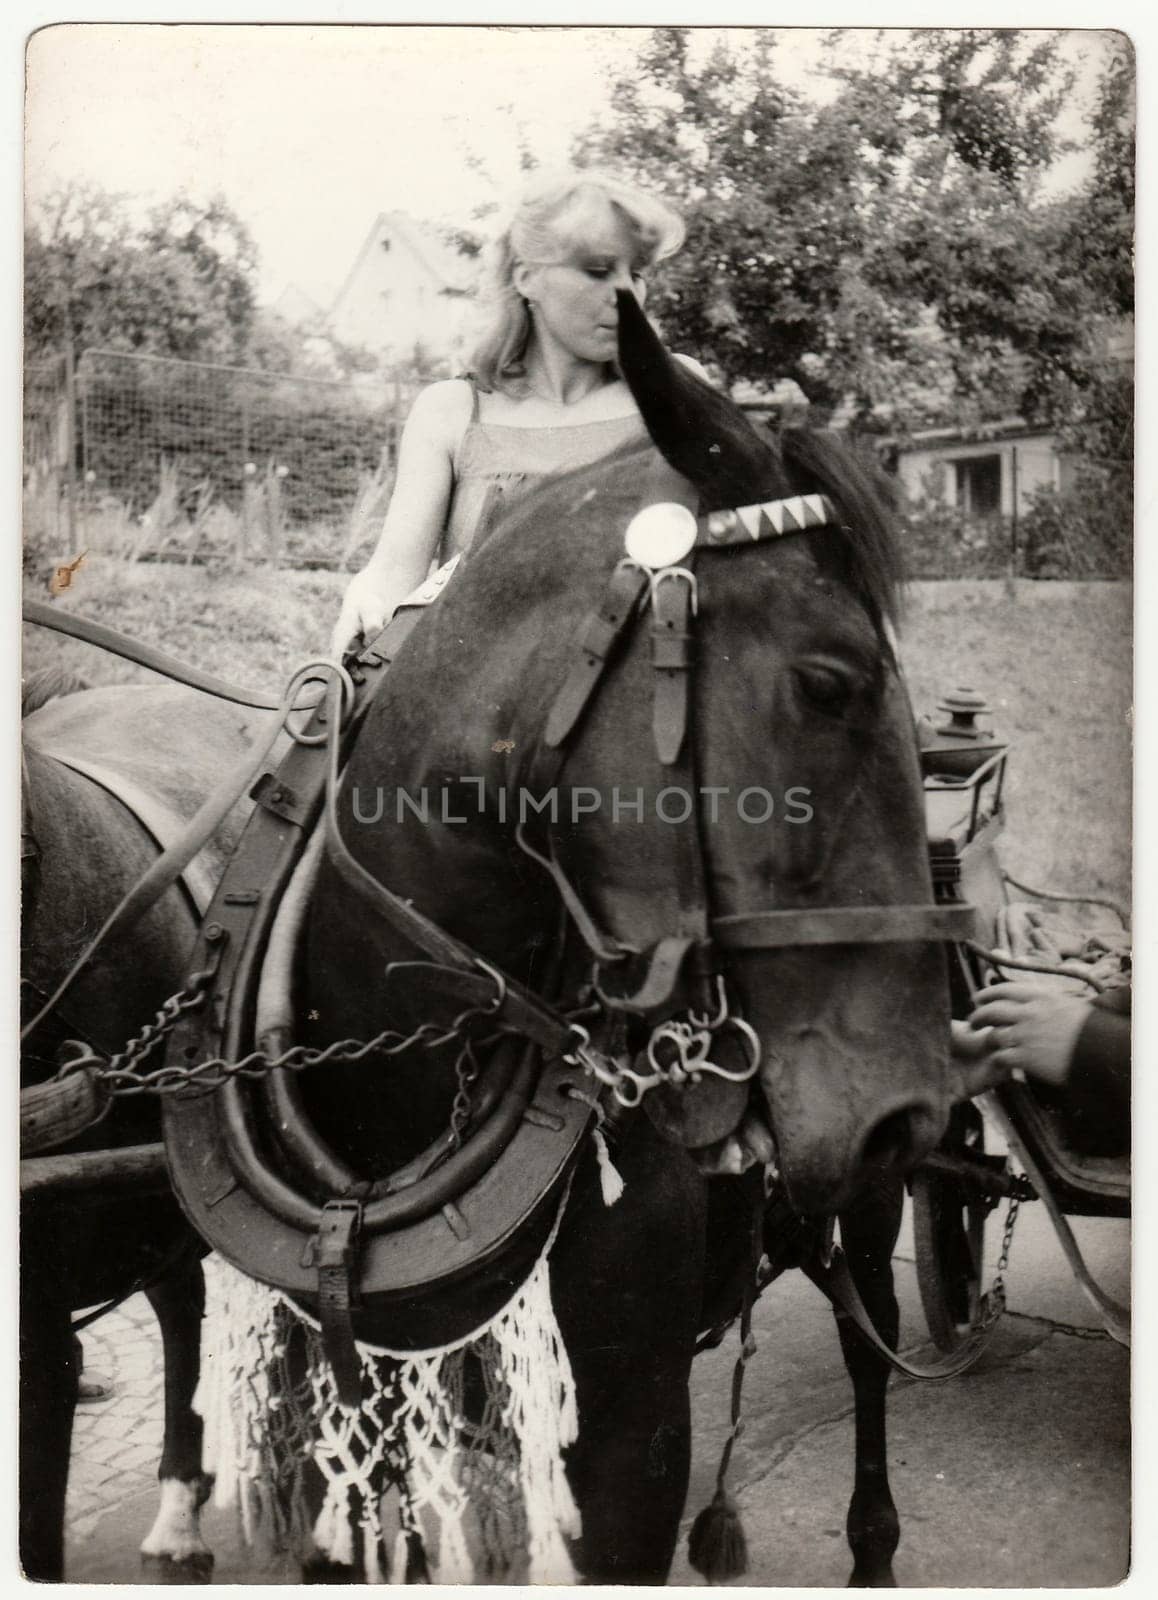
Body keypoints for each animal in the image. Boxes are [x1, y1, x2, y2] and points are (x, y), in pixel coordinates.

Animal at [295, 294, 946, 1580]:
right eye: (831, 683)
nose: (910, 1111)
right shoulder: (342, 1398)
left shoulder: (629, 1430)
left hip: (867, 1207)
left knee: (872, 1338)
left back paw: (876, 1540)